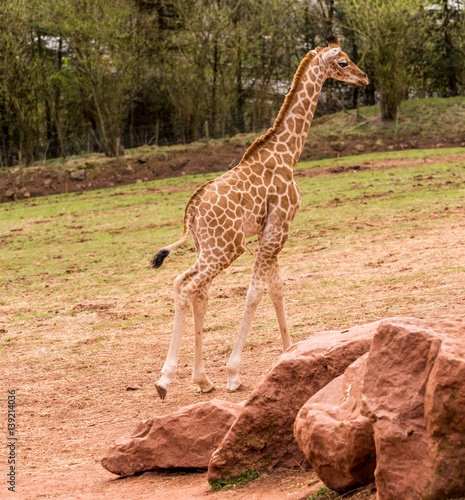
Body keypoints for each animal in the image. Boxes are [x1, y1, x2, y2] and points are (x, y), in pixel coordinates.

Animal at [150, 34, 368, 398]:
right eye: (343, 62)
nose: (364, 77)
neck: (288, 153)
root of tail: (192, 208)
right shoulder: (279, 227)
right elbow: (256, 292)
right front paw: (234, 374)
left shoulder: (273, 230)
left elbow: (276, 288)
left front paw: (290, 354)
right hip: (226, 248)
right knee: (187, 286)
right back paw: (166, 380)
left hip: (205, 248)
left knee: (191, 288)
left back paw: (201, 380)